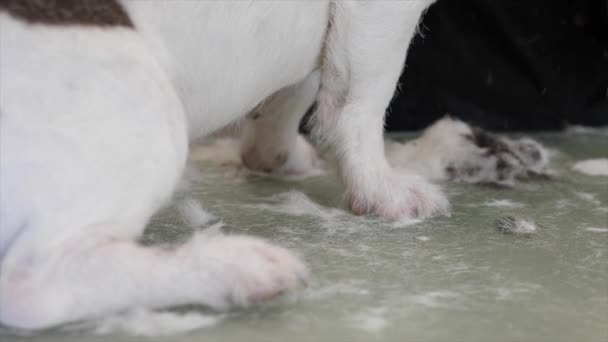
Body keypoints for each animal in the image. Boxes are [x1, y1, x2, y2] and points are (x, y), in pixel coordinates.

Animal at [1, 0, 446, 332]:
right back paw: (236, 268)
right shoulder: (380, 15)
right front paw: (382, 188)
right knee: (36, 286)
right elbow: (363, 100)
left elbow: (294, 93)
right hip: (145, 101)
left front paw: (276, 153)